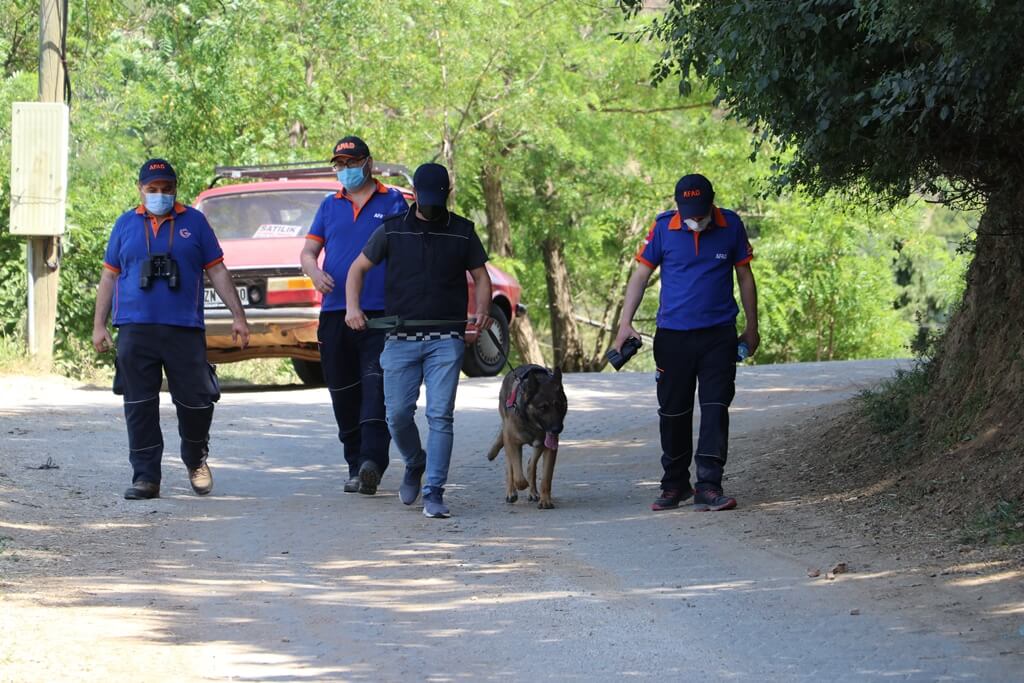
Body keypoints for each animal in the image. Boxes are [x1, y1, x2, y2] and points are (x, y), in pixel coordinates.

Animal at [485, 368, 569, 507]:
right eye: (543, 407)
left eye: (558, 405)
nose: (557, 429)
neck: (533, 425)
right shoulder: (513, 444)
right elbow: (518, 476)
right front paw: (521, 485)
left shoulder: (549, 448)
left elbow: (546, 478)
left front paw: (545, 500)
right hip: (509, 443)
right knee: (510, 468)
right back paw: (511, 492)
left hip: (538, 446)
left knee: (531, 465)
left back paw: (533, 492)